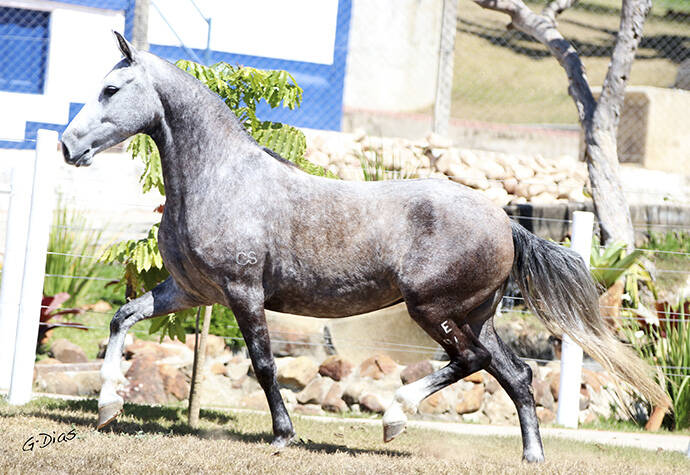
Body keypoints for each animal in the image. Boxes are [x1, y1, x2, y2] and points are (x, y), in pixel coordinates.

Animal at [61, 32, 664, 462]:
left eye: (111, 90)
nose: (67, 146)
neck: (221, 179)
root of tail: (503, 220)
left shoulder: (243, 293)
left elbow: (263, 364)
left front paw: (283, 435)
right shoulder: (190, 291)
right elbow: (121, 317)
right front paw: (107, 407)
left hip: (433, 309)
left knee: (468, 361)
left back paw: (394, 418)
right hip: (478, 315)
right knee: (515, 375)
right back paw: (531, 456)